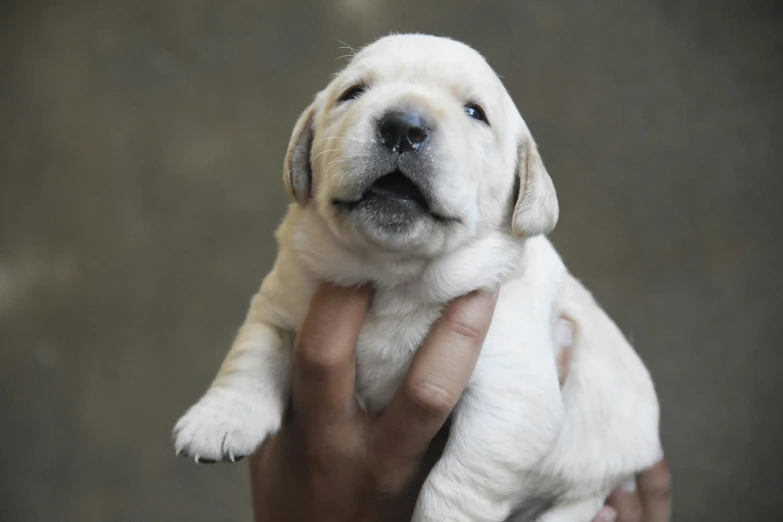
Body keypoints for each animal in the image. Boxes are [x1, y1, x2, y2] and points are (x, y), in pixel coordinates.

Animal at [172, 34, 660, 516]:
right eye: (353, 93)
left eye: (475, 112)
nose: (403, 127)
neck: (394, 275)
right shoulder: (281, 302)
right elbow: (251, 353)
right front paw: (217, 420)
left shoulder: (510, 394)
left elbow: (460, 480)